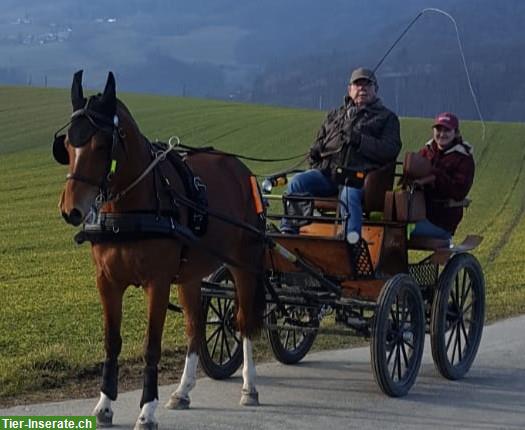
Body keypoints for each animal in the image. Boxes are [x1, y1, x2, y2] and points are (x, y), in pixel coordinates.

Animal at [56, 71, 266, 430]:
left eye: (101, 145)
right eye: (68, 145)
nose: (71, 209)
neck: (130, 208)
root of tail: (242, 171)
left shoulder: (157, 283)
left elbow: (151, 347)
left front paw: (147, 410)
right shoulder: (107, 282)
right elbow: (111, 342)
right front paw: (105, 404)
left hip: (244, 264)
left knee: (244, 322)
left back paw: (249, 386)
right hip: (191, 276)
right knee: (195, 327)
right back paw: (182, 391)